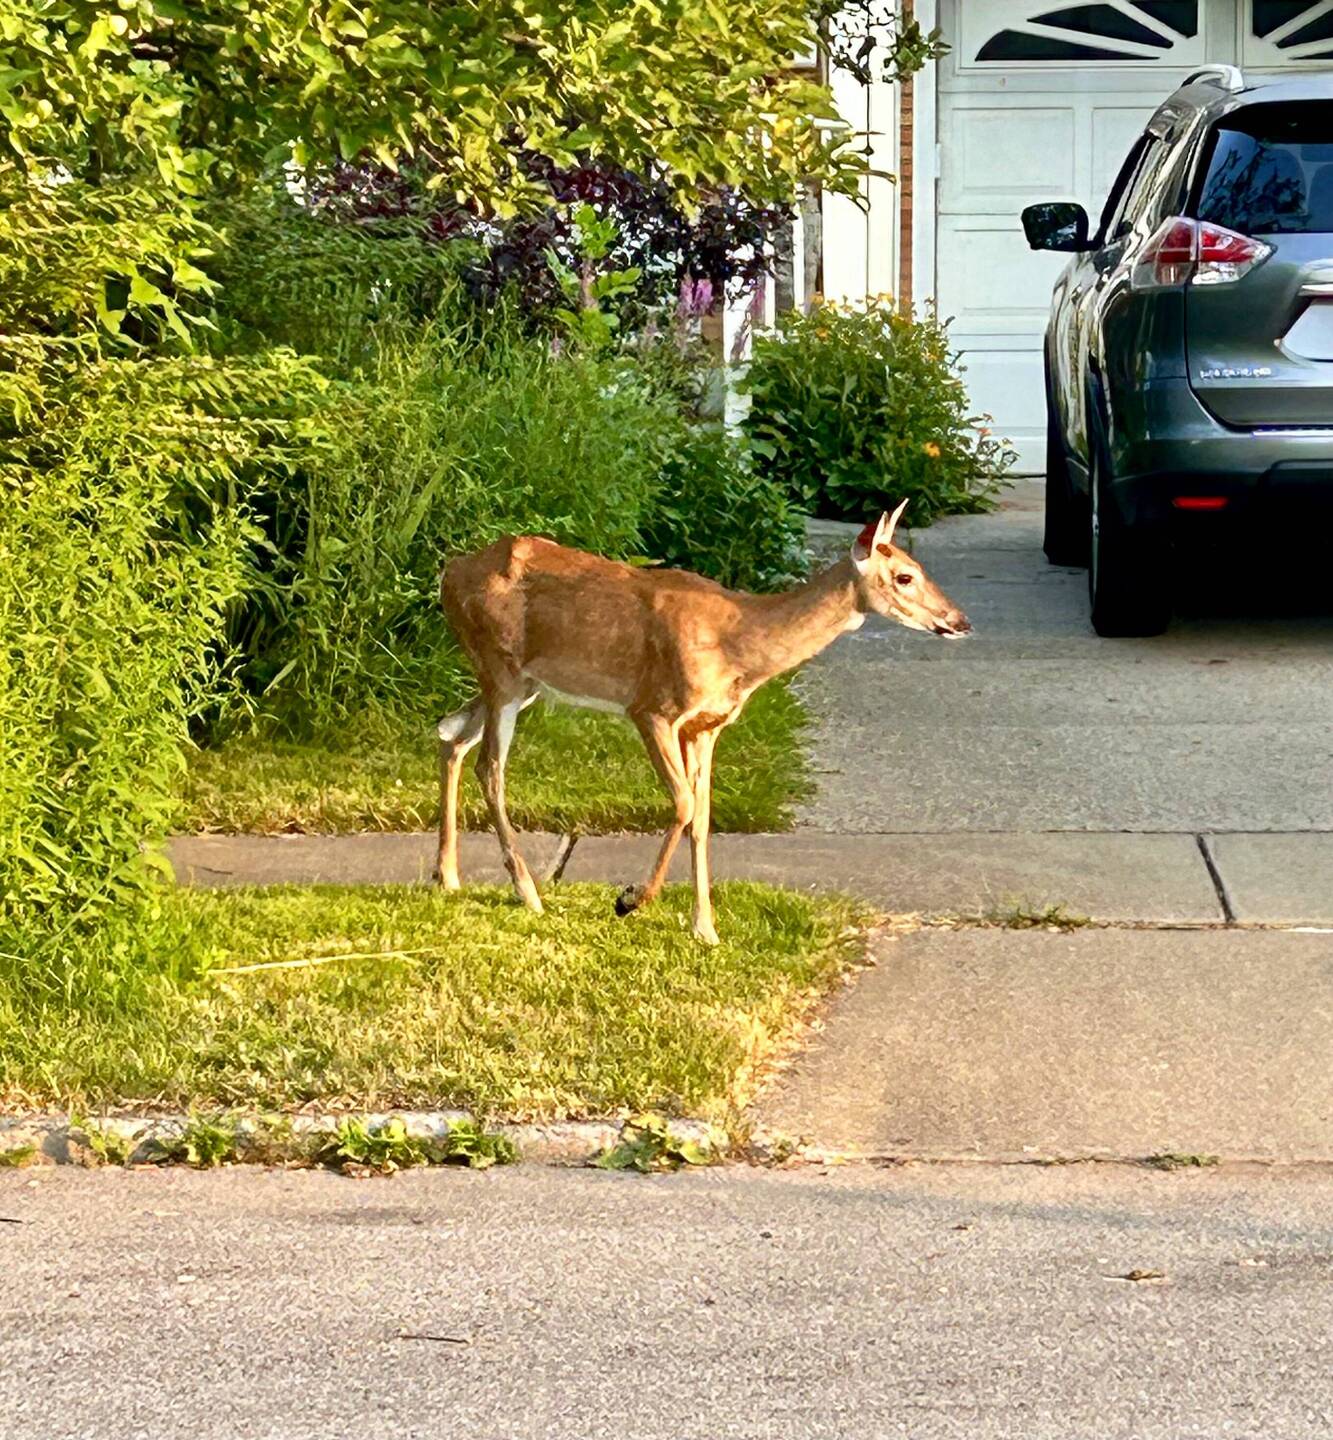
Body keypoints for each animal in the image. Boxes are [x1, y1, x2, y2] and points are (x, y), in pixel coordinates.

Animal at [435, 499, 970, 944]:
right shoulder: (652, 708)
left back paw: (448, 876)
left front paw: (705, 930)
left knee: (451, 735)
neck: (740, 644)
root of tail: (451, 570)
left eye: (921, 569)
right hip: (500, 668)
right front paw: (631, 900)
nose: (960, 620)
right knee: (489, 767)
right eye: (904, 576)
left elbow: (704, 818)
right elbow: (685, 804)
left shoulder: (707, 728)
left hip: (522, 682)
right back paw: (527, 891)